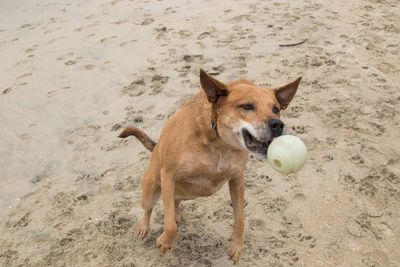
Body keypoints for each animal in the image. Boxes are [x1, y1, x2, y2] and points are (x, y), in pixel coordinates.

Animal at [119, 70, 300, 264]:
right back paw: (144, 227)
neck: (219, 143)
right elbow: (170, 225)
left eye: (276, 109)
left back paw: (176, 213)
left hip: (187, 193)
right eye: (247, 106)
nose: (277, 125)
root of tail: (155, 148)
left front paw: (237, 247)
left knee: (175, 200)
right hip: (152, 191)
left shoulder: (237, 179)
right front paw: (165, 241)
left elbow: (240, 219)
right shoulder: (168, 175)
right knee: (149, 208)